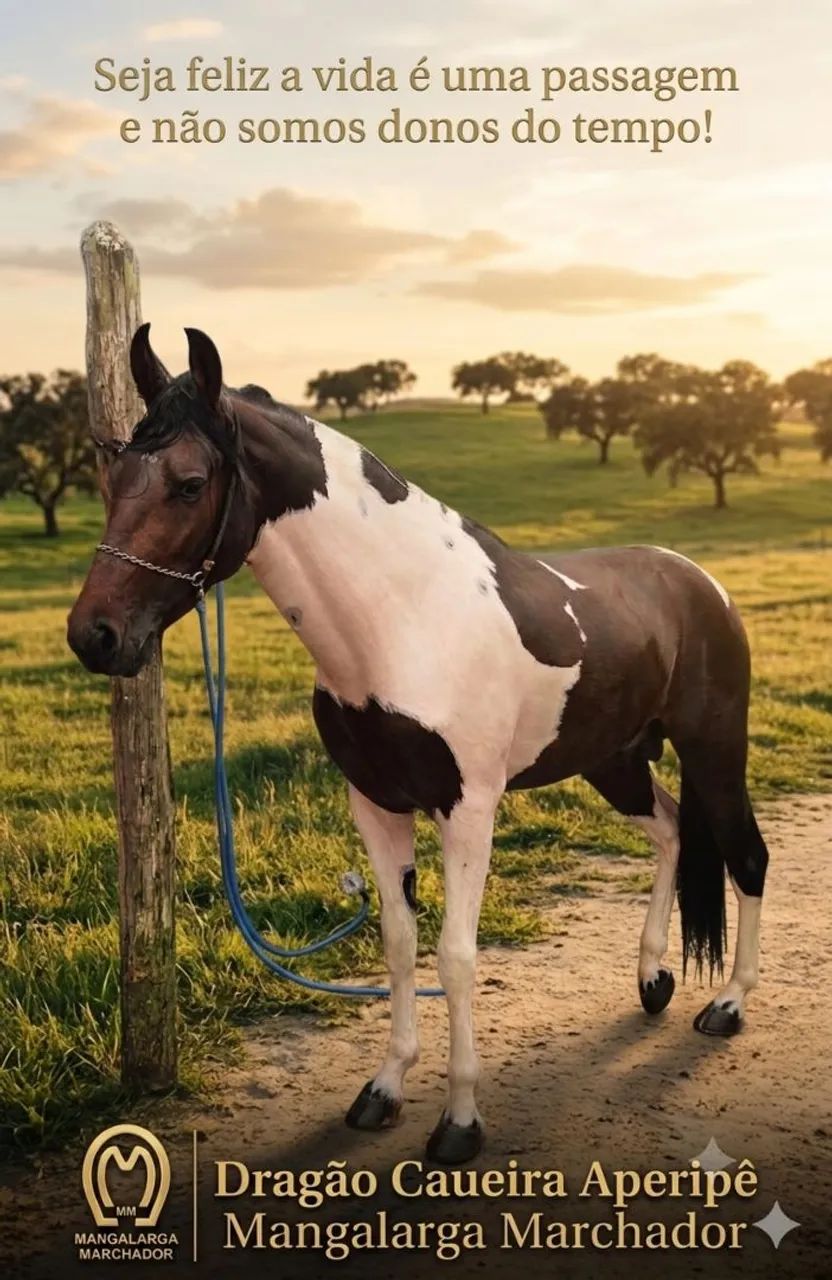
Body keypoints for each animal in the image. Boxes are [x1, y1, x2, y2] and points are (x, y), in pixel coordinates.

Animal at [68, 325, 770, 1166]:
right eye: (114, 476)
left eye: (190, 482)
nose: (96, 635)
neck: (402, 615)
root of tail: (702, 585)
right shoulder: (376, 806)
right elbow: (400, 945)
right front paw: (384, 1089)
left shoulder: (468, 810)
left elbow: (456, 957)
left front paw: (460, 1121)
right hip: (616, 762)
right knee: (669, 832)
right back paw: (653, 980)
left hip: (714, 750)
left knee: (747, 857)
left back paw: (727, 1006)